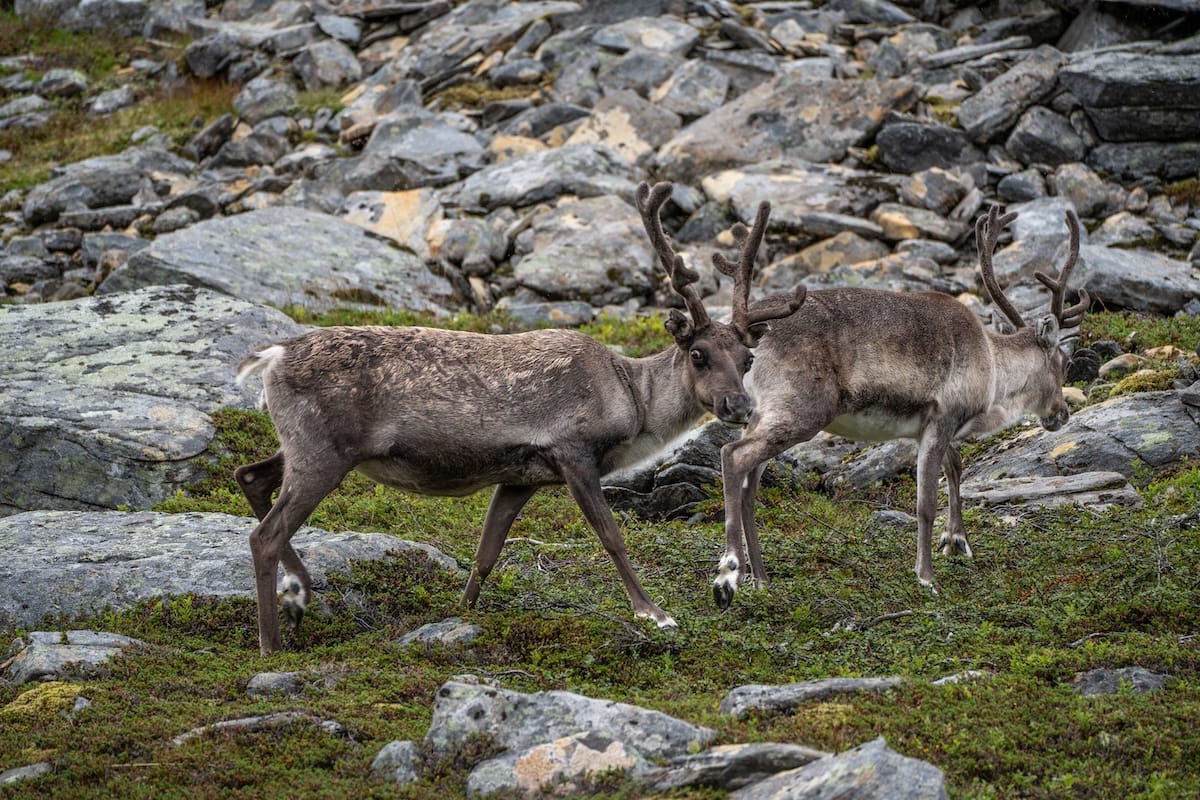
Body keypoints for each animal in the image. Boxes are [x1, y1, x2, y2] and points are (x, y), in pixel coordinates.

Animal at [233, 181, 806, 654]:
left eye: (748, 359)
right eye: (699, 354)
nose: (739, 407)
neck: (632, 399)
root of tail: (271, 356)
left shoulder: (519, 477)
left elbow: (487, 550)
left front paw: (463, 609)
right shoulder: (572, 453)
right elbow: (611, 536)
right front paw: (654, 613)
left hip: (304, 447)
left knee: (251, 476)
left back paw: (299, 594)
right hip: (322, 454)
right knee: (264, 534)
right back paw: (271, 641)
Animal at [712, 204, 1089, 609]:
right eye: (1063, 361)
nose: (1062, 414)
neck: (991, 366)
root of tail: (742, 334)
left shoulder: (927, 428)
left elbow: (955, 468)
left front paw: (957, 542)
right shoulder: (943, 417)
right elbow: (925, 503)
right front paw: (927, 577)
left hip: (760, 414)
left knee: (750, 485)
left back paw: (761, 580)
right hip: (800, 410)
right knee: (733, 455)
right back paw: (727, 576)